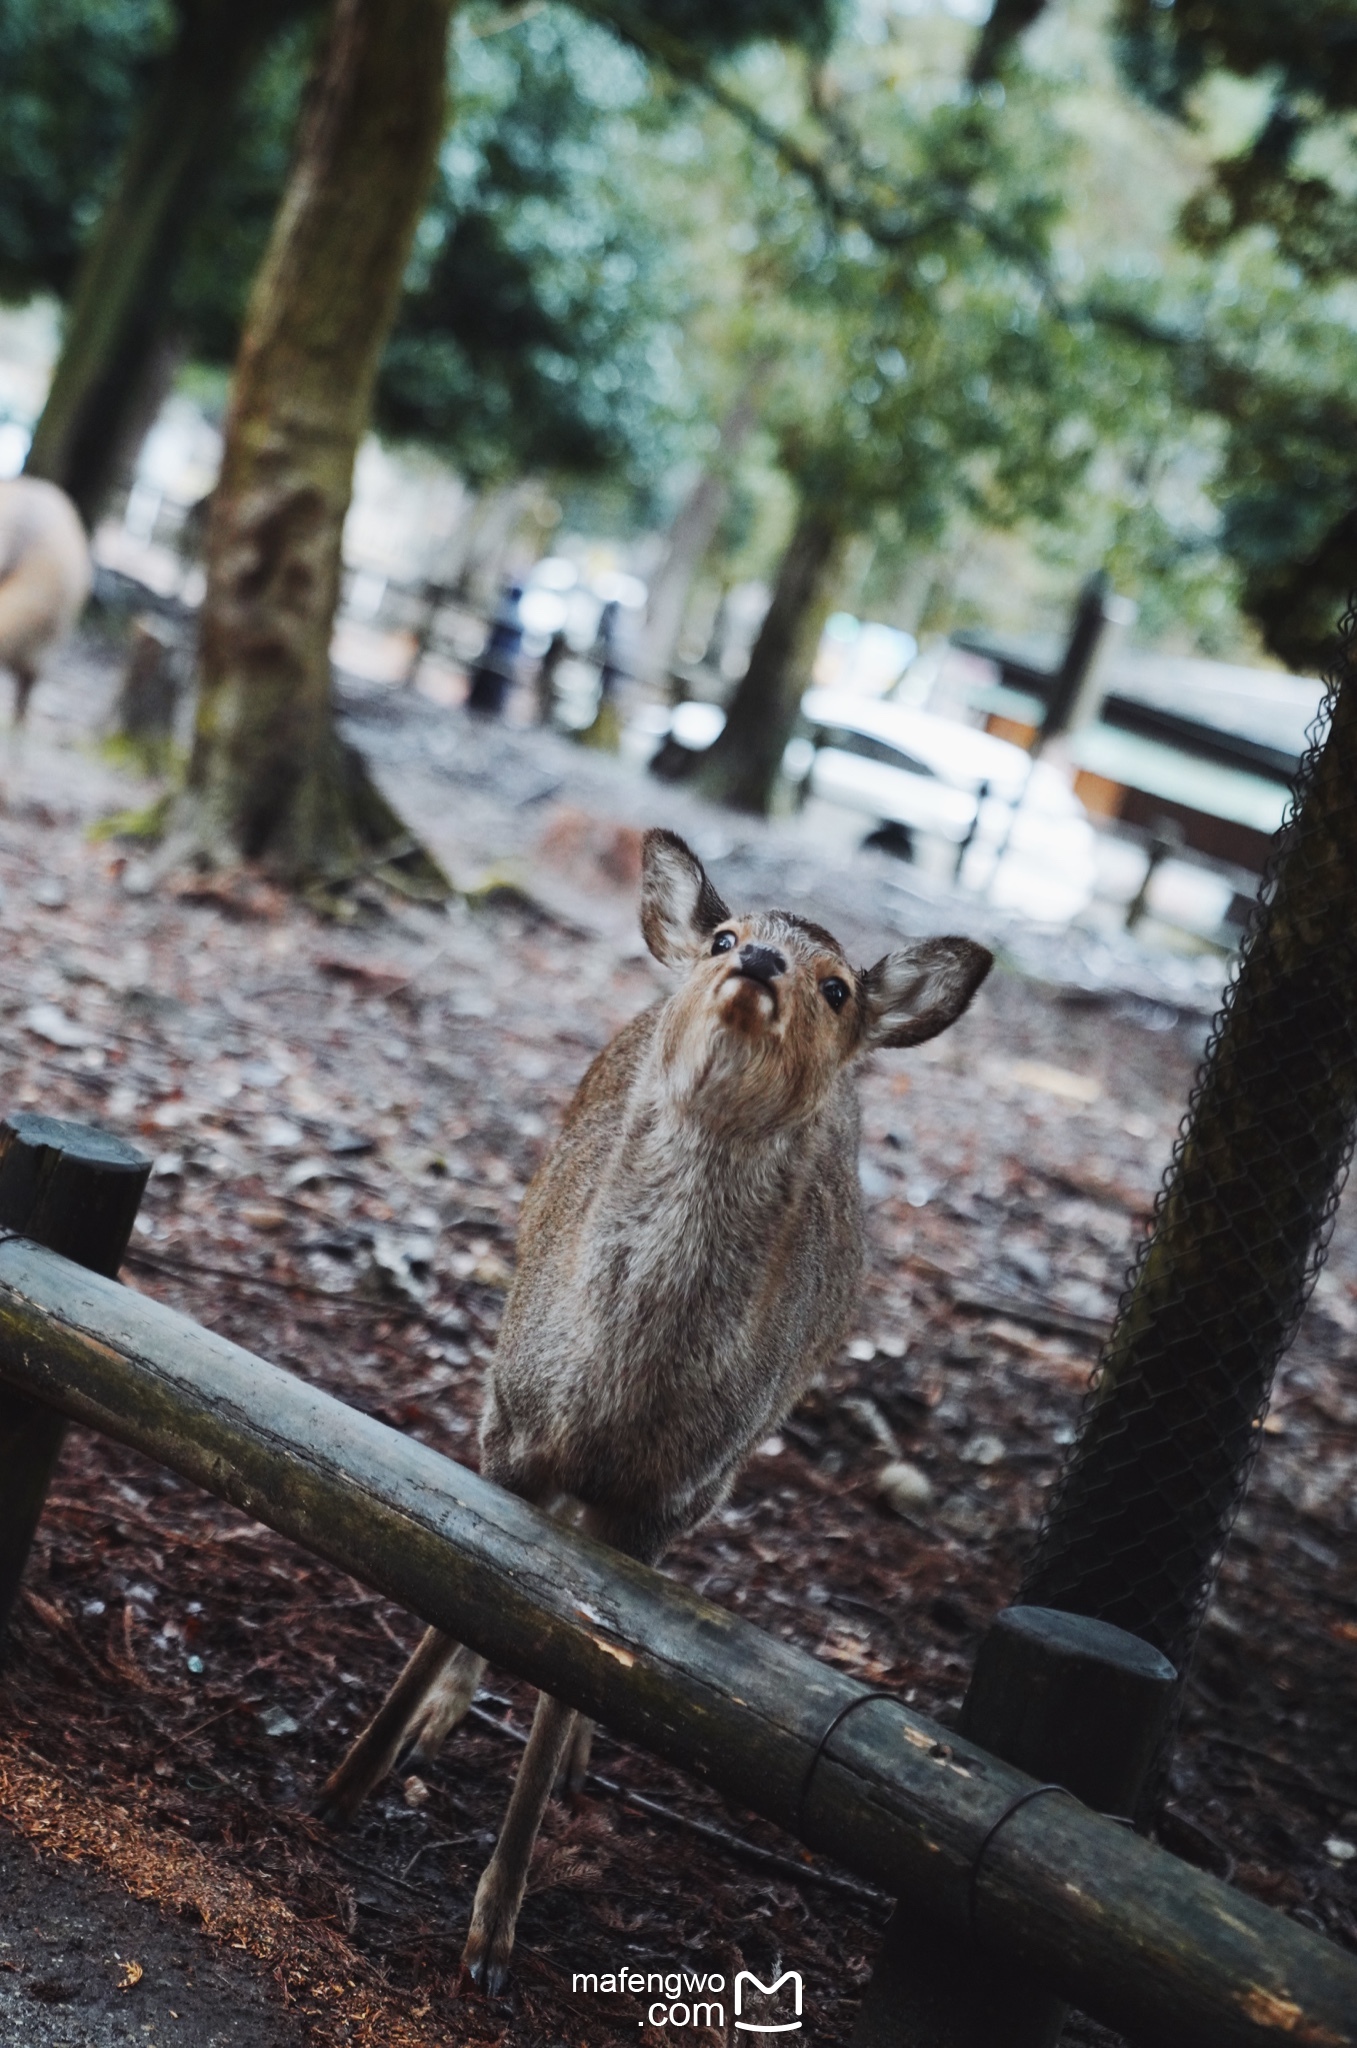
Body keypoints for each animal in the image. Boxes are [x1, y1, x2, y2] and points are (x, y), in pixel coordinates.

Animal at [319, 823, 998, 1990]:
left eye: (836, 986)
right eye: (727, 936)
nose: (759, 963)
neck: (611, 1397)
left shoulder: (663, 1503)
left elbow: (580, 1667)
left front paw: (494, 1930)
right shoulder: (505, 1428)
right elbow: (454, 1590)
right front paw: (349, 1781)